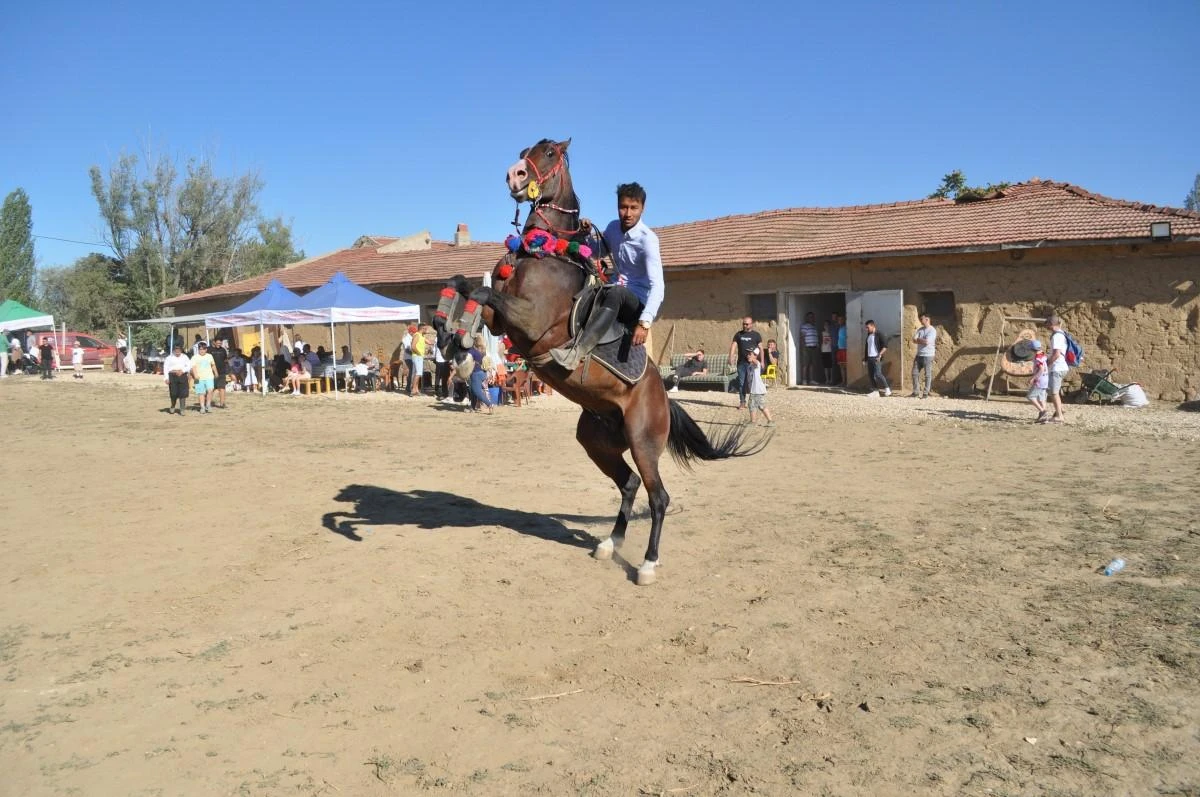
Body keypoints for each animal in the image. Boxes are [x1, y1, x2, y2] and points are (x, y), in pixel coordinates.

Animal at [436, 136, 763, 585]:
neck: (545, 254)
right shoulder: (503, 320)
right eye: (524, 151)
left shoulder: (529, 321)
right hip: (597, 441)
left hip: (643, 442)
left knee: (658, 496)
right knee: (628, 484)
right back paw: (610, 543)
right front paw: (448, 331)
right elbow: (464, 285)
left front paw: (458, 335)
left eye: (549, 153)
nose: (514, 175)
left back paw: (647, 563)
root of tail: (663, 397)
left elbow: (482, 293)